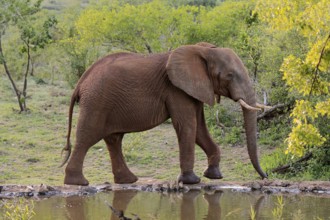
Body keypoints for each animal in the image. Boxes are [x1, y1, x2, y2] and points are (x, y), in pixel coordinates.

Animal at [60, 41, 268, 186]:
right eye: (230, 76)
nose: (264, 177)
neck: (202, 50)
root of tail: (81, 80)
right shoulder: (176, 90)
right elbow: (188, 126)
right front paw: (192, 180)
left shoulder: (194, 89)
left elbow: (200, 129)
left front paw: (214, 176)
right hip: (96, 101)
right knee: (87, 137)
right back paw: (78, 183)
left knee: (114, 139)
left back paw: (128, 180)